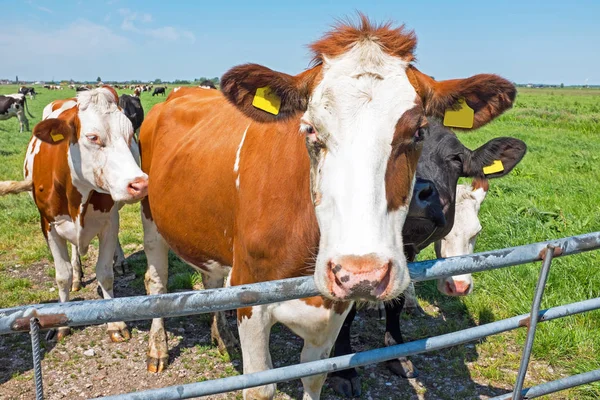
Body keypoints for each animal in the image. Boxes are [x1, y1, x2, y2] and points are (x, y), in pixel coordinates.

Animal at [0, 86, 148, 340]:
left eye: (129, 134)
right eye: (93, 137)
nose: (139, 183)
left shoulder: (109, 221)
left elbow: (104, 272)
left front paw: (116, 323)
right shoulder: (48, 225)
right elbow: (62, 276)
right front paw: (62, 323)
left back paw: (120, 262)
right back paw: (78, 275)